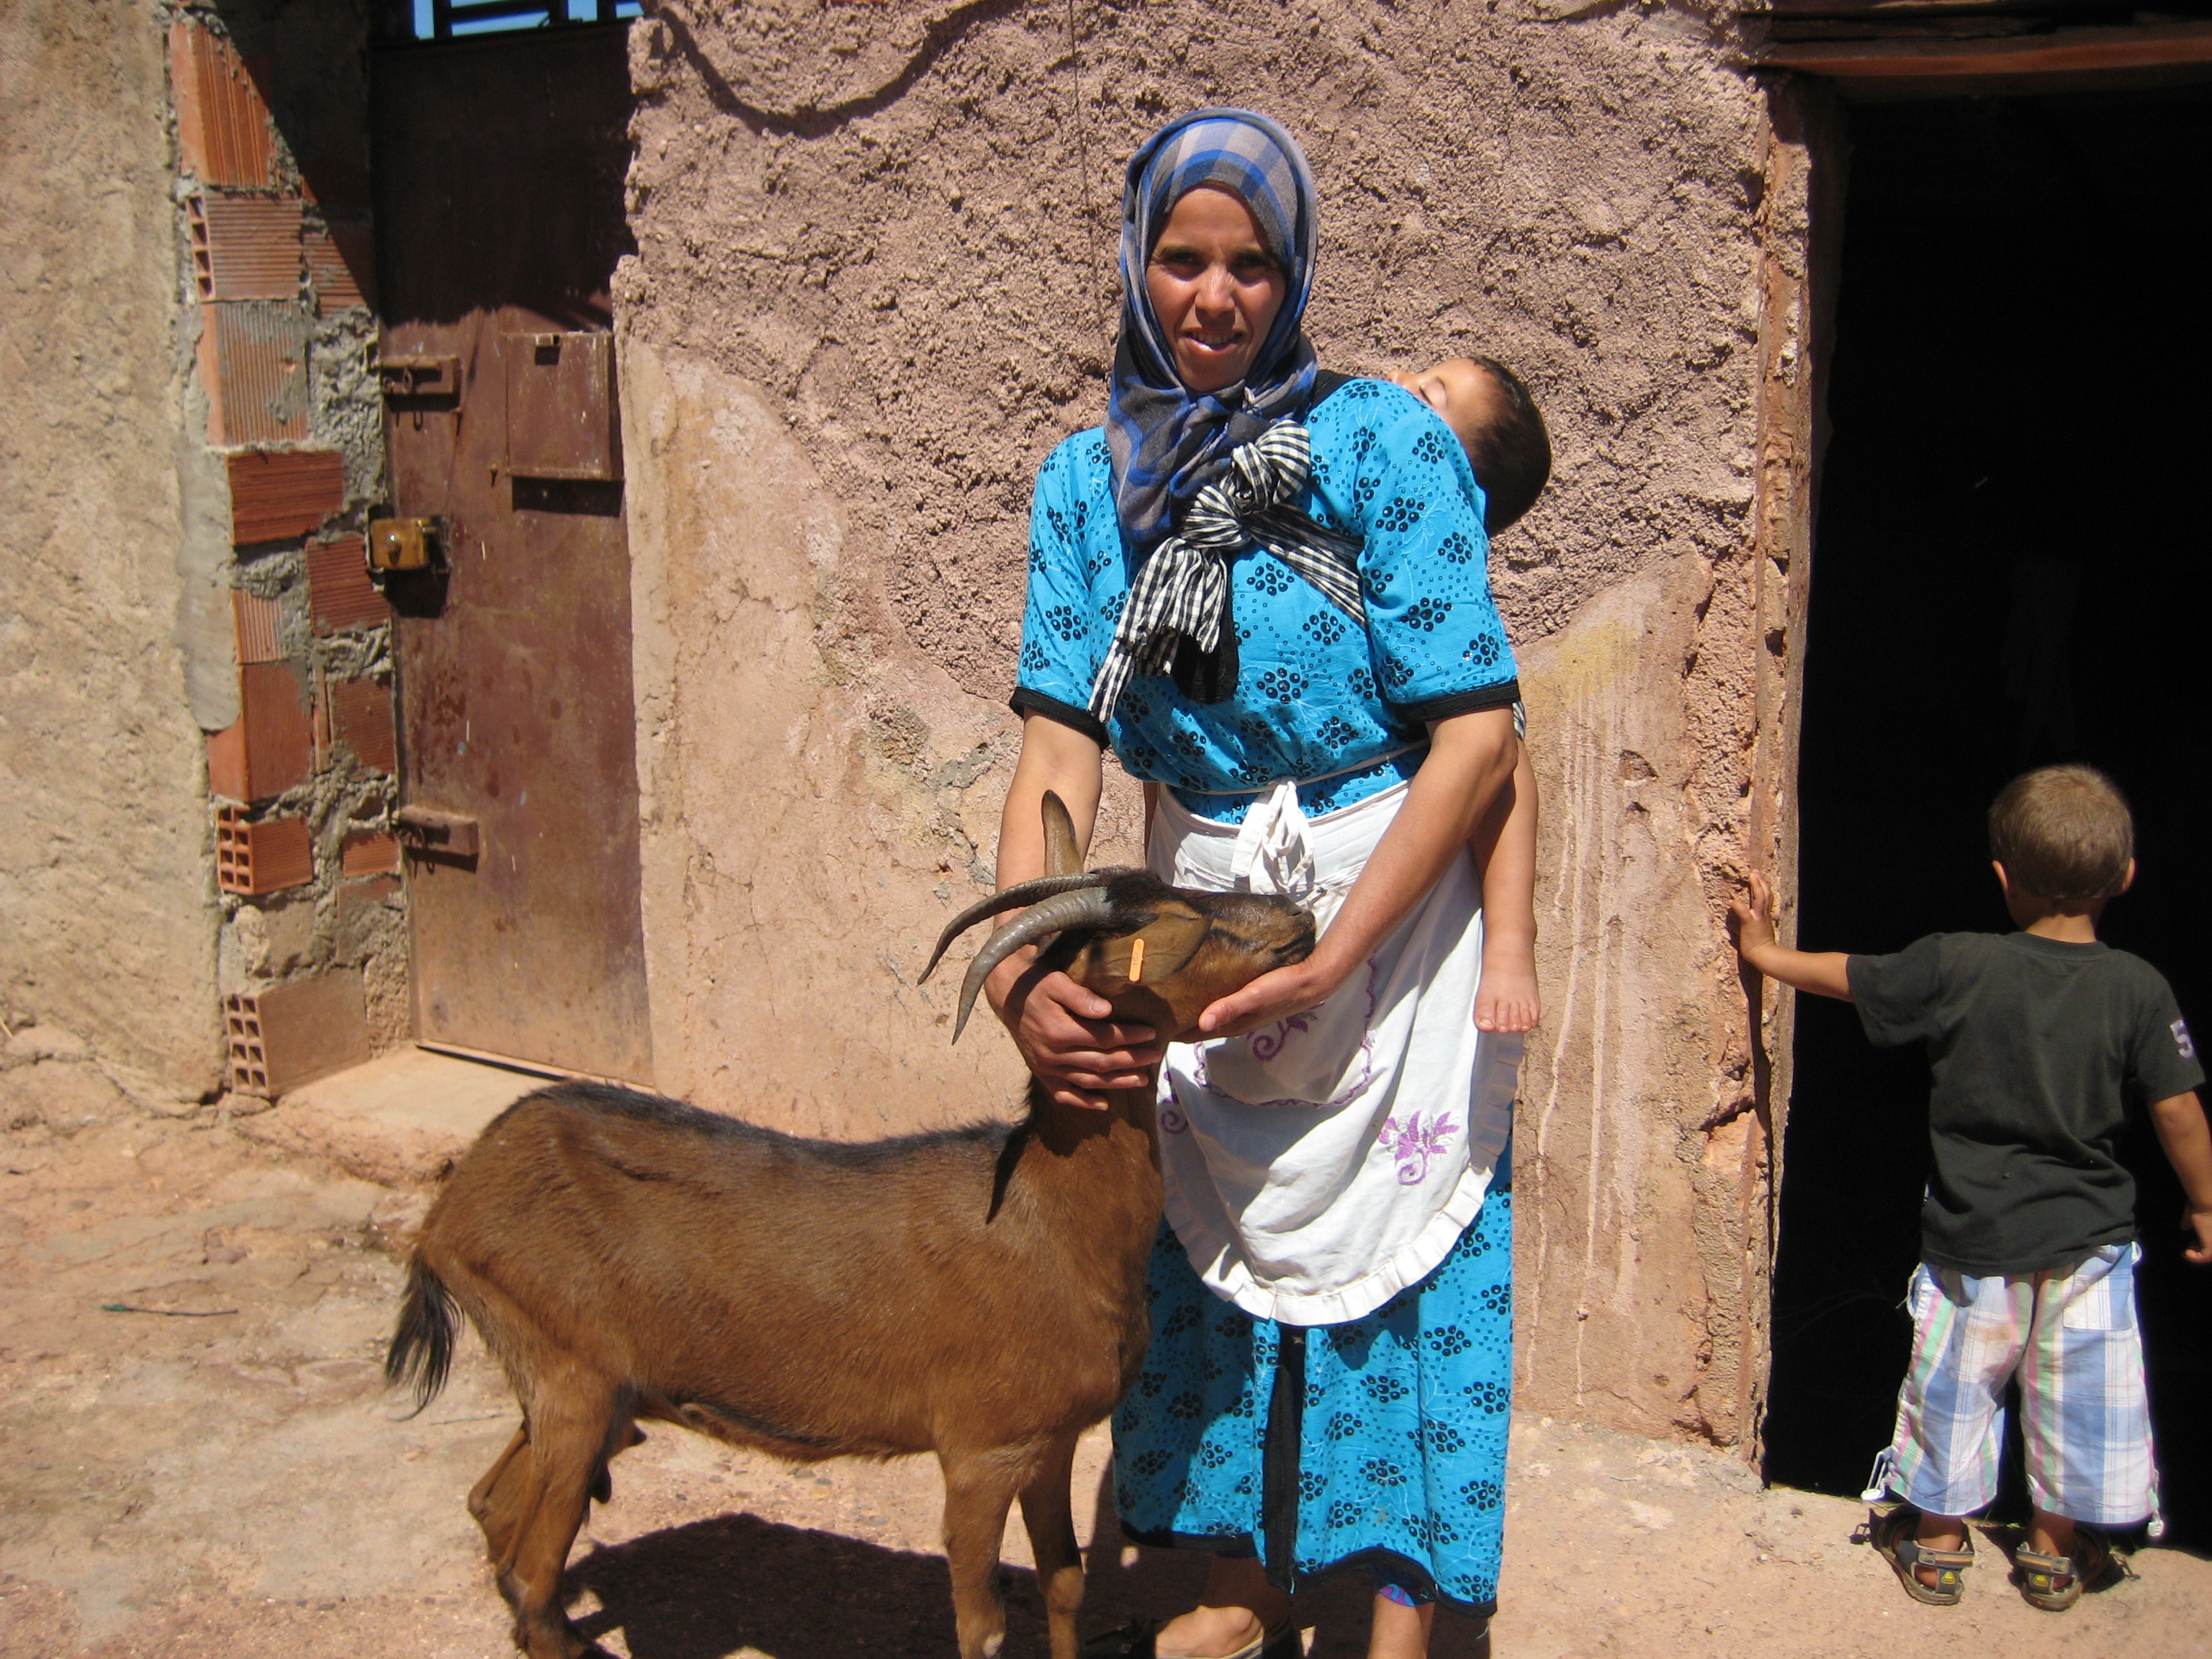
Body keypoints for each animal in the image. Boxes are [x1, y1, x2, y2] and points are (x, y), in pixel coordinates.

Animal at [385, 793, 1315, 1659]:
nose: (1298, 918)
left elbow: (1065, 1583)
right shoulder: (979, 1451)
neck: (1045, 1222)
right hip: (572, 1376)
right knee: (532, 1572)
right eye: (1179, 929)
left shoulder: (1049, 1445)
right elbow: (980, 1627)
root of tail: (452, 1209)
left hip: (585, 1392)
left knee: (494, 1514)